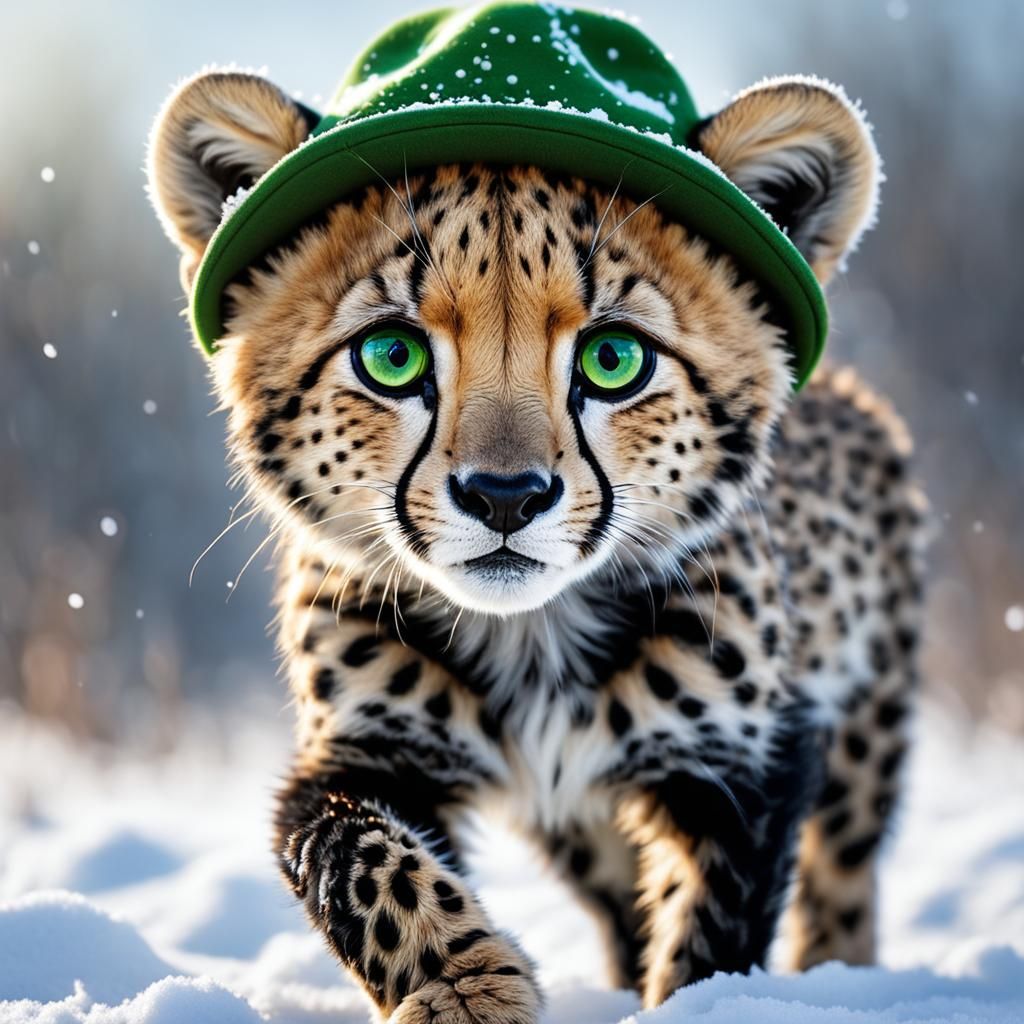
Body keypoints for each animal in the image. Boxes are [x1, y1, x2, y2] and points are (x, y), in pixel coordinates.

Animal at [147, 66, 926, 1023]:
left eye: (615, 359)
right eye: (392, 356)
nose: (505, 496)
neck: (533, 638)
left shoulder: (744, 760)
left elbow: (711, 931)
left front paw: (693, 1004)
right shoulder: (362, 751)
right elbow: (365, 865)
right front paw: (465, 991)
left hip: (865, 737)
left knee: (843, 880)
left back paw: (841, 977)